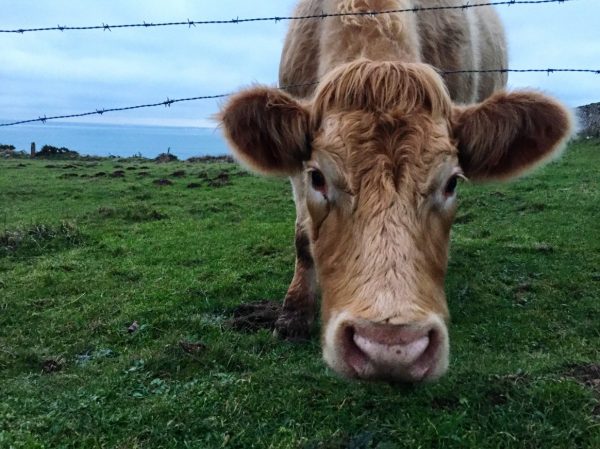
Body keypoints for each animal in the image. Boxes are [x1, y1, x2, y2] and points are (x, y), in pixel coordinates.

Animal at [219, 0, 572, 382]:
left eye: (451, 182)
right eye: (318, 178)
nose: (390, 348)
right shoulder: (295, 168)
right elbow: (303, 238)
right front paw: (293, 314)